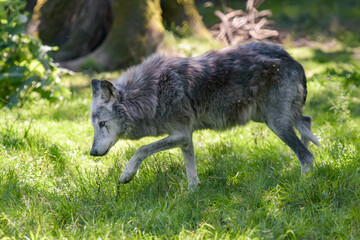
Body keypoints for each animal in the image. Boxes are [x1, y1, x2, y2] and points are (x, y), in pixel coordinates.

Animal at [90, 41, 320, 189]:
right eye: (94, 126)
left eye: (102, 124)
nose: (92, 153)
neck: (151, 93)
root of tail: (292, 58)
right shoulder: (185, 138)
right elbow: (191, 174)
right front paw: (192, 195)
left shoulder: (181, 134)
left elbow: (142, 149)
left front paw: (126, 175)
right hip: (270, 118)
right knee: (307, 124)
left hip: (276, 123)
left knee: (307, 156)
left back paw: (301, 186)